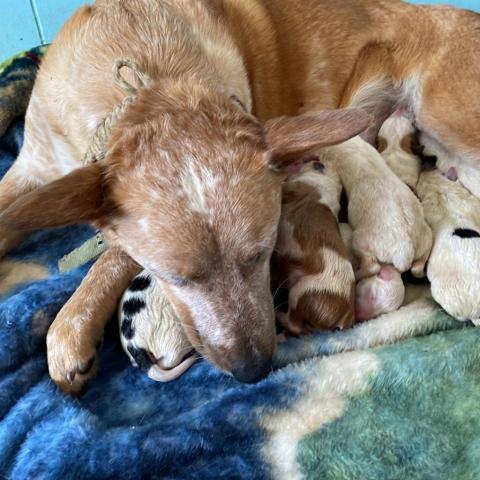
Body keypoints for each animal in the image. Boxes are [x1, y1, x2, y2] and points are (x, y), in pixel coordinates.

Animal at [274, 162, 356, 334]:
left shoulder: (295, 186)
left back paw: (278, 314)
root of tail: (346, 315)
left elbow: (284, 185)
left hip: (300, 291)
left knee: (294, 324)